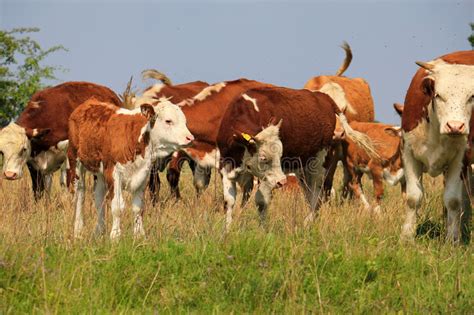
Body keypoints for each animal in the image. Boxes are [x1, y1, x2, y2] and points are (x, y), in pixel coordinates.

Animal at [67, 97, 193, 238]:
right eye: (168, 121)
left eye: (185, 121)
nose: (190, 138)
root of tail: (89, 102)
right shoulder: (113, 173)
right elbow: (117, 206)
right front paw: (115, 235)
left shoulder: (143, 175)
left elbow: (138, 207)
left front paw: (139, 234)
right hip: (75, 162)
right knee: (80, 195)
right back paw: (78, 230)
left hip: (100, 173)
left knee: (99, 197)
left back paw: (100, 230)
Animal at [216, 86, 378, 230]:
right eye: (263, 158)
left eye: (280, 155)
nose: (282, 181)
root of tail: (324, 98)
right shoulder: (227, 167)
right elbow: (229, 201)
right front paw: (227, 231)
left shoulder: (268, 178)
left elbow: (261, 201)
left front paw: (262, 231)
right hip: (303, 171)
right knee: (311, 195)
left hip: (320, 165)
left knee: (318, 196)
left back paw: (306, 223)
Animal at [400, 50, 474, 244]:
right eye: (438, 95)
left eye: (472, 96)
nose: (455, 126)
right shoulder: (408, 153)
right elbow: (413, 198)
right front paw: (406, 237)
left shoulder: (460, 160)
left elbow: (453, 201)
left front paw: (453, 240)